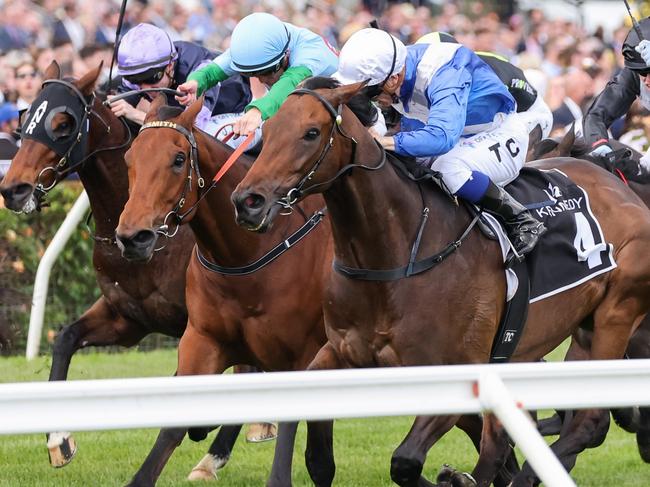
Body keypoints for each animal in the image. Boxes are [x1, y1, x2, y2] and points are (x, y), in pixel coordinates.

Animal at [0, 62, 270, 476]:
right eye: (26, 118)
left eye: (63, 123)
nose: (13, 189)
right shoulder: (128, 317)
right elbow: (64, 339)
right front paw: (58, 440)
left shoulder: (203, 322)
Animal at [233, 81, 650, 487]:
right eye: (268, 129)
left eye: (311, 133)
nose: (247, 201)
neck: (394, 257)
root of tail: (618, 186)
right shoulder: (339, 353)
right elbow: (314, 446)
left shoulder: (457, 369)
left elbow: (405, 461)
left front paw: (456, 477)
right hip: (578, 330)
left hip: (616, 313)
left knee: (589, 422)